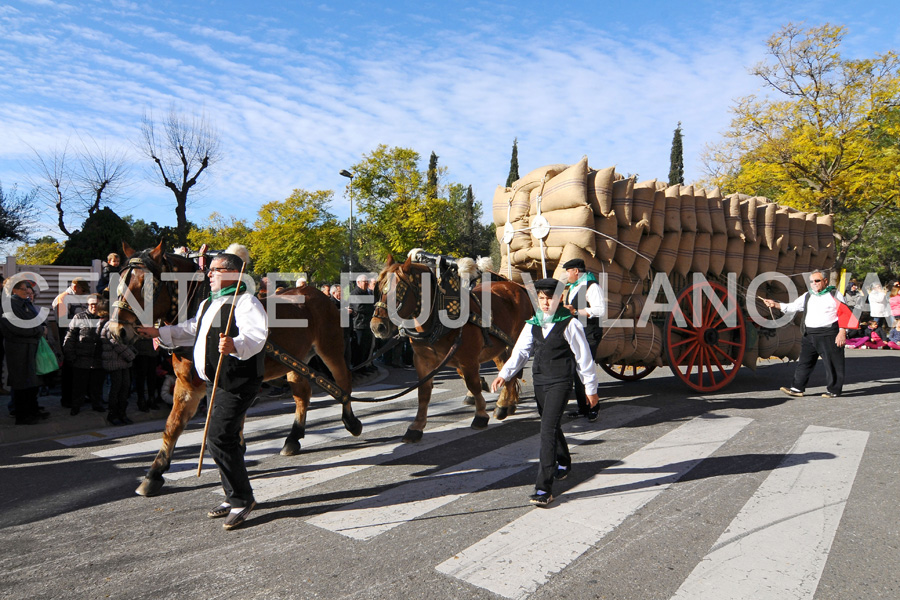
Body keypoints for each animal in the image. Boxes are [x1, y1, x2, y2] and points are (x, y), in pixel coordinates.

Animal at [105, 243, 358, 496]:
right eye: (118, 283)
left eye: (147, 286)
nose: (117, 331)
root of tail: (317, 294)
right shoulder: (186, 384)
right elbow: (173, 425)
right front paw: (154, 472)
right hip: (297, 361)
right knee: (302, 395)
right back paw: (293, 439)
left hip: (330, 349)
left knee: (343, 381)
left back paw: (350, 420)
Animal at [368, 253, 532, 440]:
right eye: (379, 288)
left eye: (399, 291)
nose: (377, 327)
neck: (436, 320)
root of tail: (515, 286)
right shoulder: (422, 361)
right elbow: (424, 392)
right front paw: (416, 426)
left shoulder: (468, 359)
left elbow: (473, 384)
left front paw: (480, 415)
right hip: (498, 347)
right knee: (506, 369)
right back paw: (508, 404)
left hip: (516, 342)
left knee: (513, 370)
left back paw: (504, 405)